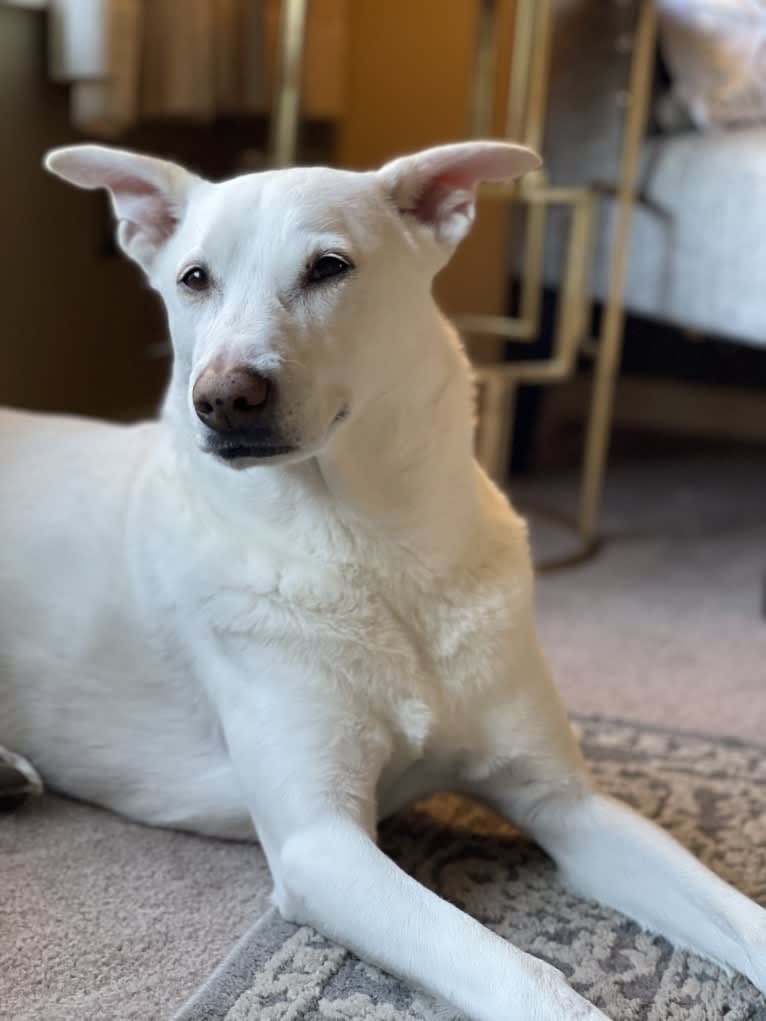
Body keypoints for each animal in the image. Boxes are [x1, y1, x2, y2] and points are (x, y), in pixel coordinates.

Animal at [0, 143, 763, 1021]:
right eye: (194, 278)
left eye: (329, 267)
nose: (223, 397)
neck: (368, 546)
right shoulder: (322, 846)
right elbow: (523, 972)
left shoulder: (570, 807)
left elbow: (740, 917)